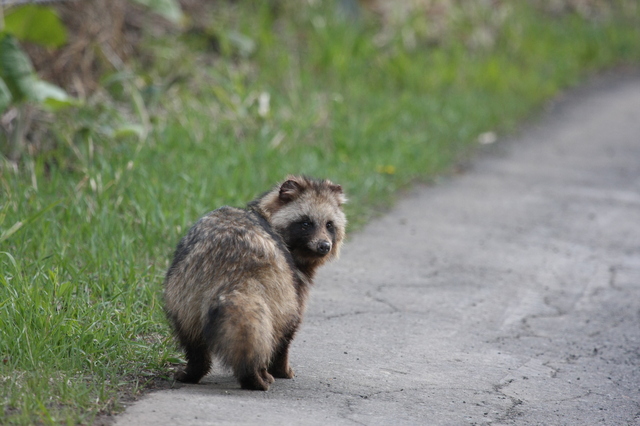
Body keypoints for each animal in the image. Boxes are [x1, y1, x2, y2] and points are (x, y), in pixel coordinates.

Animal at [162, 176, 348, 390]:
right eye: (306, 223)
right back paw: (258, 372)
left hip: (185, 286)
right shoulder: (293, 278)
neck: (267, 214)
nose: (324, 246)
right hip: (277, 284)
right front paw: (280, 369)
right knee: (277, 327)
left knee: (190, 335)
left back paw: (195, 368)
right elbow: (289, 328)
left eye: (329, 225)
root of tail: (233, 266)